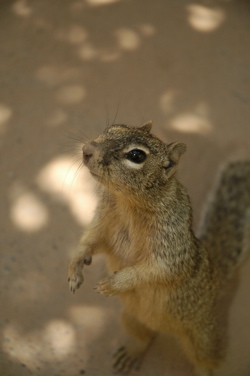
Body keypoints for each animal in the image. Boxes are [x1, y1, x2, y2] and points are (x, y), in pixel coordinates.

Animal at [67, 122, 250, 374]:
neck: (127, 203)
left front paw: (115, 283)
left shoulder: (171, 247)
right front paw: (75, 268)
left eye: (137, 156)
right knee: (145, 337)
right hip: (130, 319)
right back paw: (131, 353)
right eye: (111, 128)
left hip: (203, 338)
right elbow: (89, 241)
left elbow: (157, 269)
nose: (87, 149)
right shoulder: (102, 226)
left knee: (207, 362)